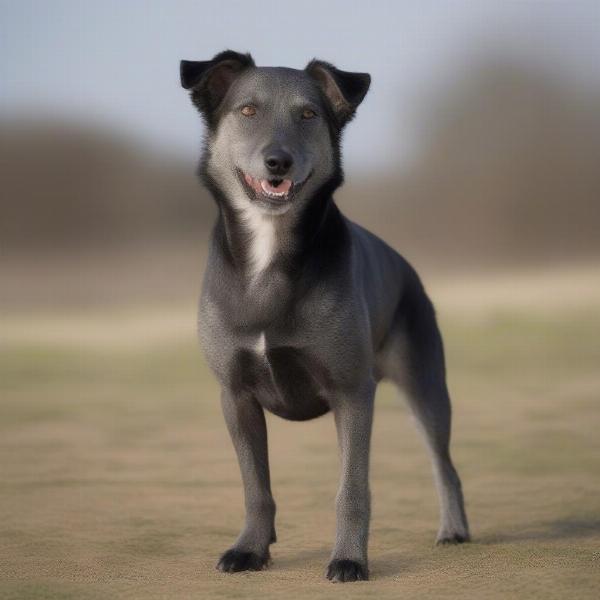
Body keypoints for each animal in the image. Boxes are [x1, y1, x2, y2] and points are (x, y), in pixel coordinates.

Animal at [180, 49, 472, 584]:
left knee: (445, 466)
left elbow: (351, 490)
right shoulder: (235, 396)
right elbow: (255, 487)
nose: (278, 161)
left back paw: (453, 530)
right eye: (247, 110)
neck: (270, 252)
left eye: (308, 114)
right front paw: (250, 549)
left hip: (425, 387)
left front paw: (350, 559)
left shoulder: (353, 393)